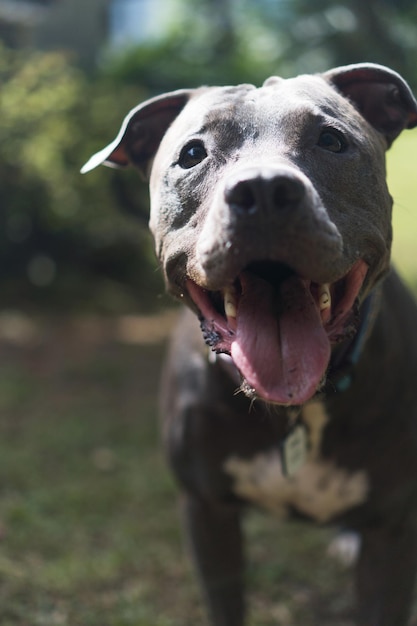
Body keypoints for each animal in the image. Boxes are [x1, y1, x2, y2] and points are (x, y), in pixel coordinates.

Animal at [83, 64, 416, 624]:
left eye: (332, 140)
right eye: (191, 153)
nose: (263, 191)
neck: (294, 410)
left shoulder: (391, 531)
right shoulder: (206, 510)